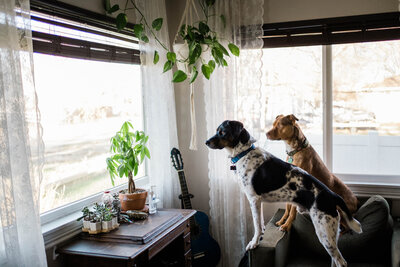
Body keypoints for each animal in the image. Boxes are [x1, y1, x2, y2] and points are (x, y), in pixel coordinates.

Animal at [206, 121, 362, 267]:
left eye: (222, 132)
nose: (206, 142)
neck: (244, 153)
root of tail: (333, 195)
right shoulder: (258, 202)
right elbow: (261, 223)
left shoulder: (253, 199)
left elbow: (256, 225)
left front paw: (254, 242)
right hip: (331, 235)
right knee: (335, 260)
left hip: (324, 231)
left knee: (342, 262)